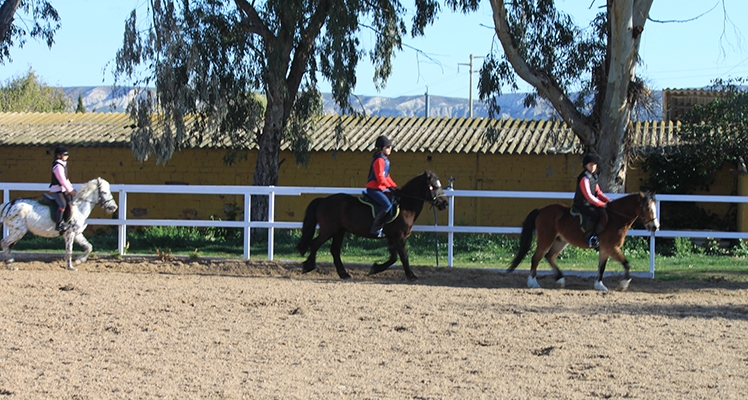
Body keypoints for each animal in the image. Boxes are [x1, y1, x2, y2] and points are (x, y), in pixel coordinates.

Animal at [296, 170, 449, 281]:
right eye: (434, 186)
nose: (445, 203)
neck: (405, 206)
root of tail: (323, 200)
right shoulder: (399, 237)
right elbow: (403, 257)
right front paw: (411, 276)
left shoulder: (392, 238)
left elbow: (393, 258)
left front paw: (375, 268)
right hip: (329, 230)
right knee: (315, 244)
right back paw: (308, 266)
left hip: (339, 231)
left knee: (334, 250)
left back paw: (344, 274)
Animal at [507, 192, 659, 291]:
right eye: (647, 208)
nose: (655, 227)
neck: (616, 218)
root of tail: (542, 210)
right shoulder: (612, 247)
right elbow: (626, 263)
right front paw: (624, 283)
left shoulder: (605, 249)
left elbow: (602, 267)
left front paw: (599, 285)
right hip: (546, 239)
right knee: (536, 257)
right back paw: (533, 283)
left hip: (561, 241)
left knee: (549, 256)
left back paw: (560, 279)